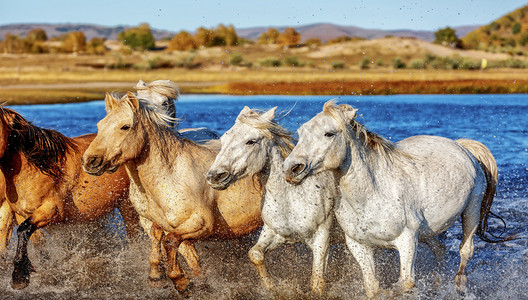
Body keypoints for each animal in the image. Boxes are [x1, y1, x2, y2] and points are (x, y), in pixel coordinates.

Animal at [0, 106, 140, 290]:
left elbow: (23, 230)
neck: (35, 168)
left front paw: (19, 277)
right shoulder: (21, 214)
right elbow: (34, 241)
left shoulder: (52, 211)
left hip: (127, 206)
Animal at [82, 92, 264, 292]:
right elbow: (163, 239)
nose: (90, 161)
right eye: (99, 125)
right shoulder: (159, 223)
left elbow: (171, 241)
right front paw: (157, 275)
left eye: (125, 126)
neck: (172, 176)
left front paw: (179, 280)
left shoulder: (201, 224)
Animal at [205, 106, 338, 294]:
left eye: (251, 141)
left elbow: (317, 282)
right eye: (223, 139)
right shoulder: (275, 233)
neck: (293, 200)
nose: (215, 176)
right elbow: (255, 254)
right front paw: (271, 287)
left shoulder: (322, 238)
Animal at [282, 100, 498, 298]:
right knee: (440, 249)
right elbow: (372, 286)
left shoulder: (407, 241)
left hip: (472, 210)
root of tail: (462, 147)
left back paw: (459, 286)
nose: (291, 169)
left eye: (329, 133)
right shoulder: (359, 246)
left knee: (465, 251)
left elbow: (404, 283)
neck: (372, 195)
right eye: (300, 133)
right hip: (428, 231)